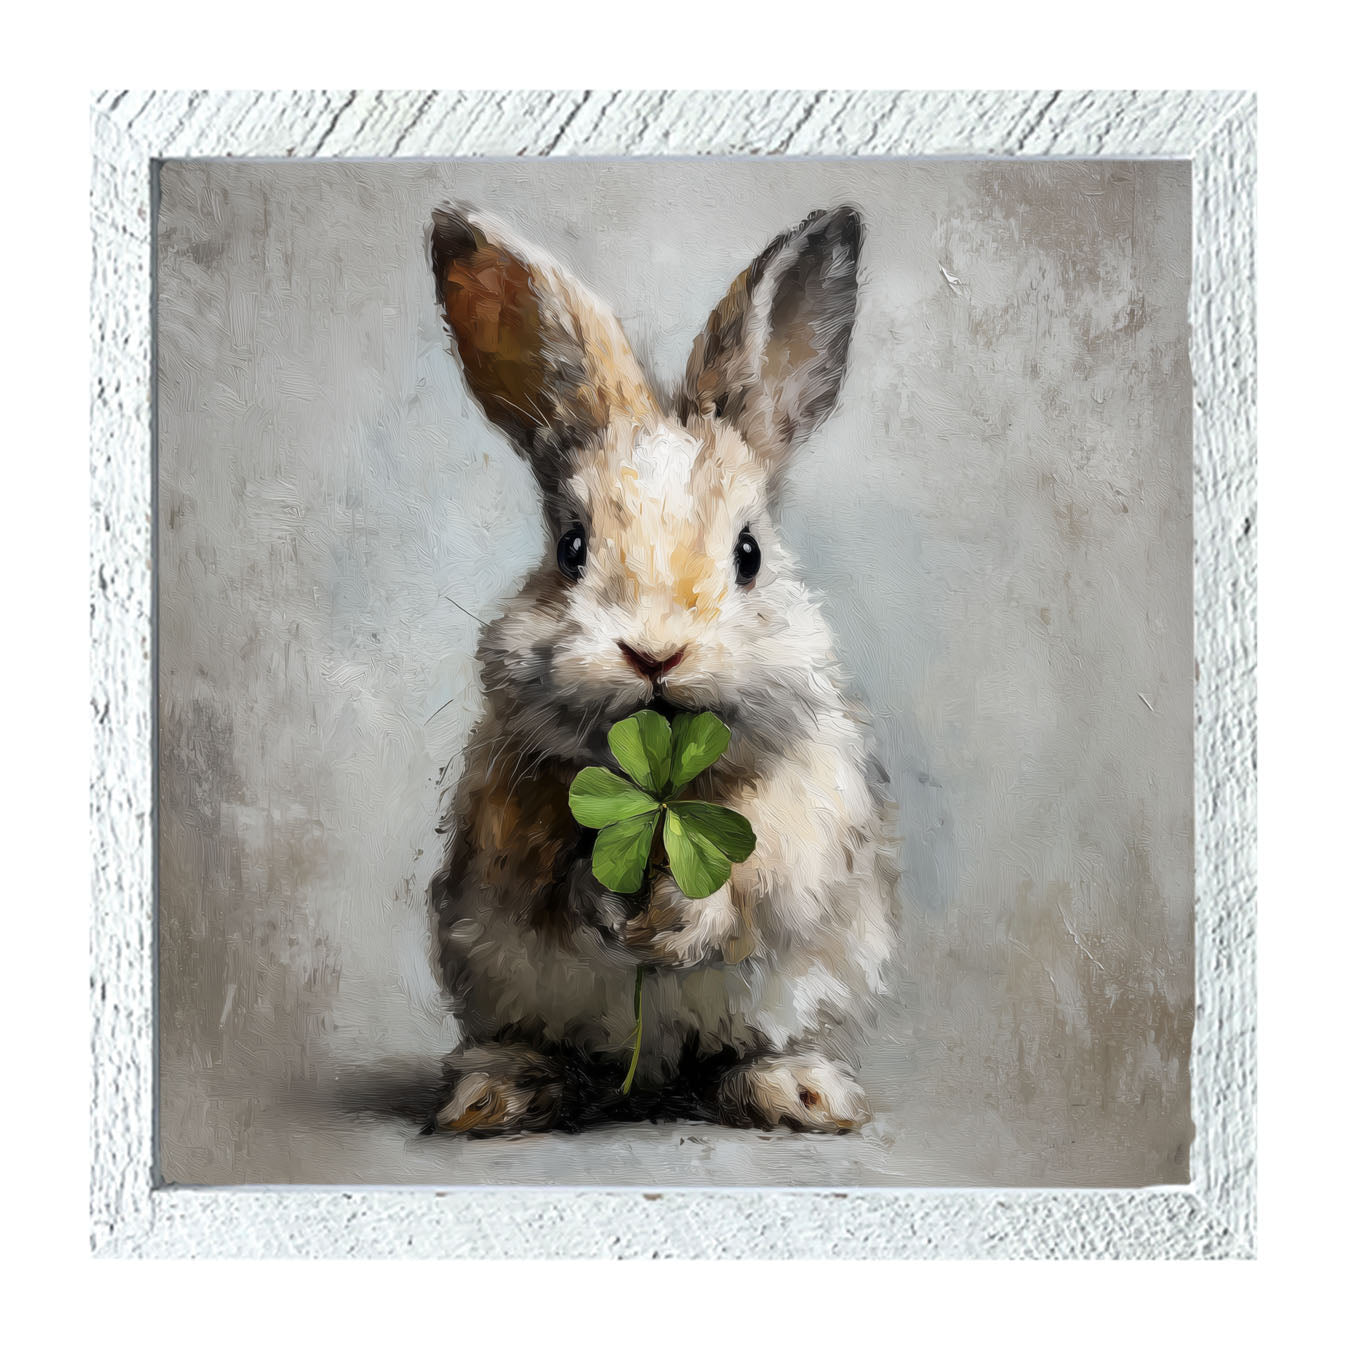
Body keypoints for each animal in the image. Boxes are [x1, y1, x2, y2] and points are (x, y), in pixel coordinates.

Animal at [425, 201, 898, 1136]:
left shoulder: (805, 807)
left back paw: (801, 1092)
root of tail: (653, 1078)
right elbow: (551, 874)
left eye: (749, 554)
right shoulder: (508, 814)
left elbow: (758, 872)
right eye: (571, 550)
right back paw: (496, 1094)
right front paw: (613, 910)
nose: (654, 652)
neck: (667, 787)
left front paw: (678, 921)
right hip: (495, 983)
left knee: (751, 1050)